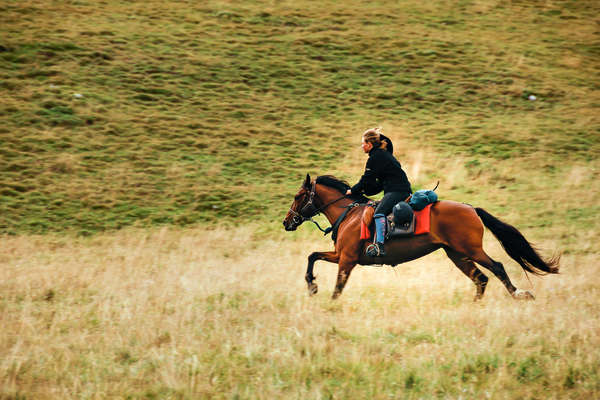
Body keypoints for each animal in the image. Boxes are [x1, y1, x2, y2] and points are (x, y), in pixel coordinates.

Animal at [284, 174, 560, 300]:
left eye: (298, 196)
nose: (287, 222)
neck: (348, 214)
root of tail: (471, 208)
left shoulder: (347, 259)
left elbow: (338, 287)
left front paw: (324, 297)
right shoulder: (340, 255)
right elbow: (312, 256)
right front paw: (312, 285)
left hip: (471, 250)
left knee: (498, 267)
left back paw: (518, 294)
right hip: (457, 255)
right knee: (481, 278)